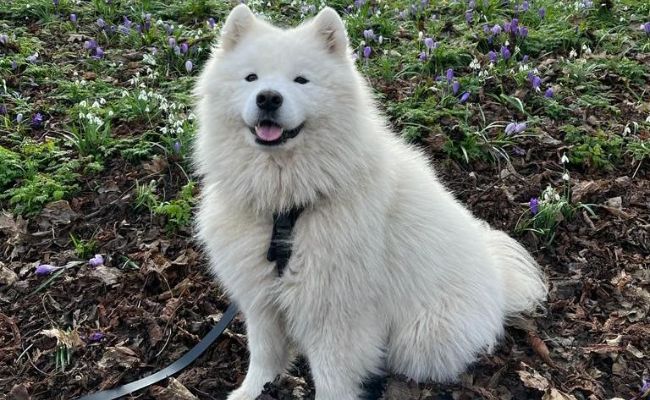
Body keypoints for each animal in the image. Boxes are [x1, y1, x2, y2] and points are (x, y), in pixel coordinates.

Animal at [191, 5, 540, 400]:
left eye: (301, 80)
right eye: (251, 77)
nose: (268, 97)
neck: (288, 207)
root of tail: (500, 281)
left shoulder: (337, 314)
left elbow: (331, 376)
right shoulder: (261, 298)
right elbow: (264, 354)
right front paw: (252, 391)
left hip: (420, 336)